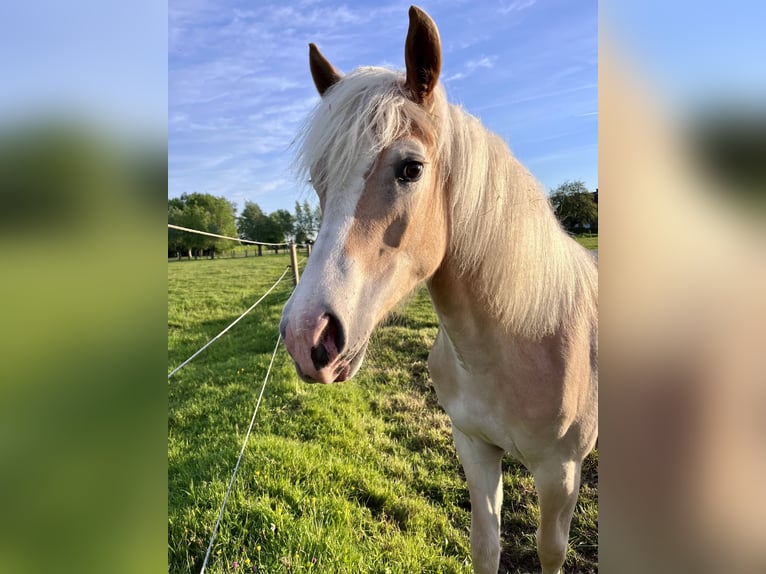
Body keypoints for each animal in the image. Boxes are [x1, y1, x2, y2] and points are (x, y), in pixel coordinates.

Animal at [282, 5, 600, 574]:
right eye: (320, 181)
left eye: (411, 168)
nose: (306, 336)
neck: (524, 337)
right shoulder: (474, 449)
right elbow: (486, 546)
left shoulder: (560, 475)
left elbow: (550, 552)